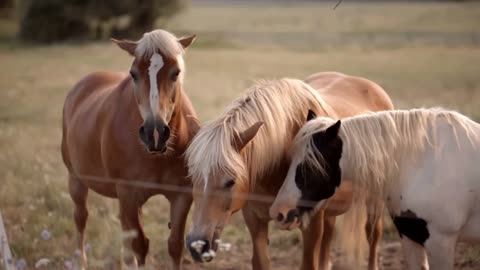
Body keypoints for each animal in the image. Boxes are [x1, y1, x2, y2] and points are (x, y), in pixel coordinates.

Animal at [62, 28, 197, 268]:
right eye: (133, 74)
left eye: (176, 73)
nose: (154, 133)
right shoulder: (128, 193)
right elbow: (140, 246)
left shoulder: (181, 195)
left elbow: (175, 245)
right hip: (77, 180)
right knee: (81, 218)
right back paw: (81, 261)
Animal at [185, 72, 394, 270]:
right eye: (193, 178)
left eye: (230, 181)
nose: (196, 245)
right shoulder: (255, 220)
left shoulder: (311, 226)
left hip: (375, 201)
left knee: (373, 236)